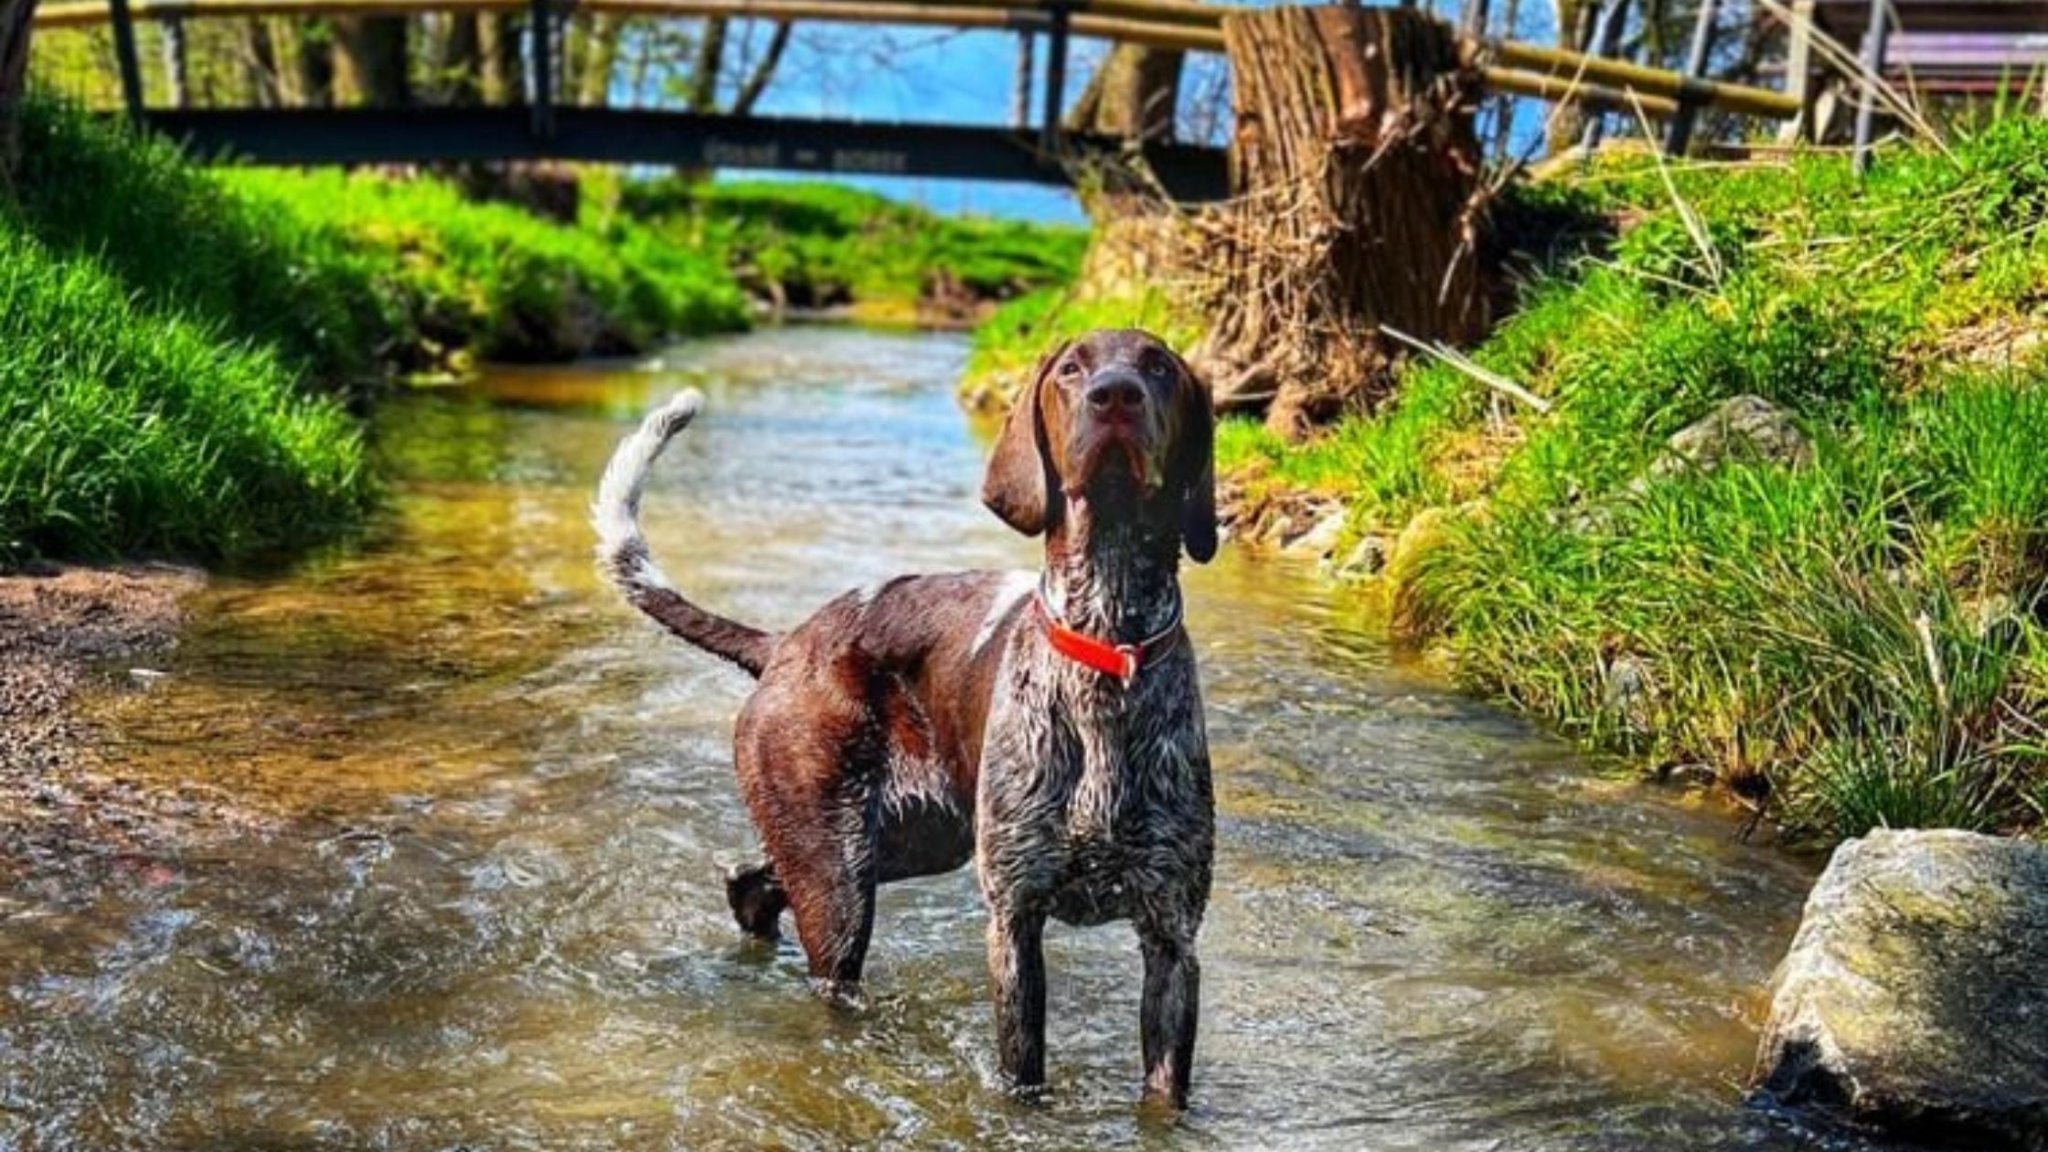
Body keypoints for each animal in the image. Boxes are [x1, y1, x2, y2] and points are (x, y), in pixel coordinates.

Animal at [593, 327, 1212, 1098]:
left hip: (904, 840)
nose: (1116, 396)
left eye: (1158, 367)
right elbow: (1023, 1076)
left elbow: (1165, 1090)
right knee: (816, 951)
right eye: (1073, 369)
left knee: (751, 881)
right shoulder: (1015, 923)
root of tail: (784, 643)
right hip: (840, 877)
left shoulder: (1172, 937)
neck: (1108, 644)